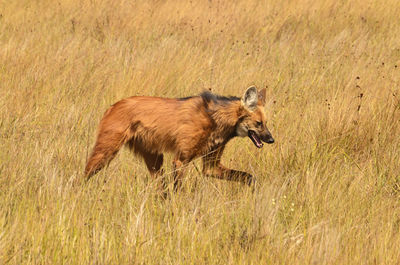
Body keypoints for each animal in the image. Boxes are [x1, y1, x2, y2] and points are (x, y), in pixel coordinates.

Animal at [83, 86, 274, 190]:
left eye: (266, 123)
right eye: (258, 124)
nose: (271, 140)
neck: (216, 119)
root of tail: (113, 105)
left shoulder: (210, 167)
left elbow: (249, 177)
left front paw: (254, 192)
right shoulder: (180, 160)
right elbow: (178, 191)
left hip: (155, 158)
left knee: (161, 186)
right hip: (106, 153)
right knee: (85, 174)